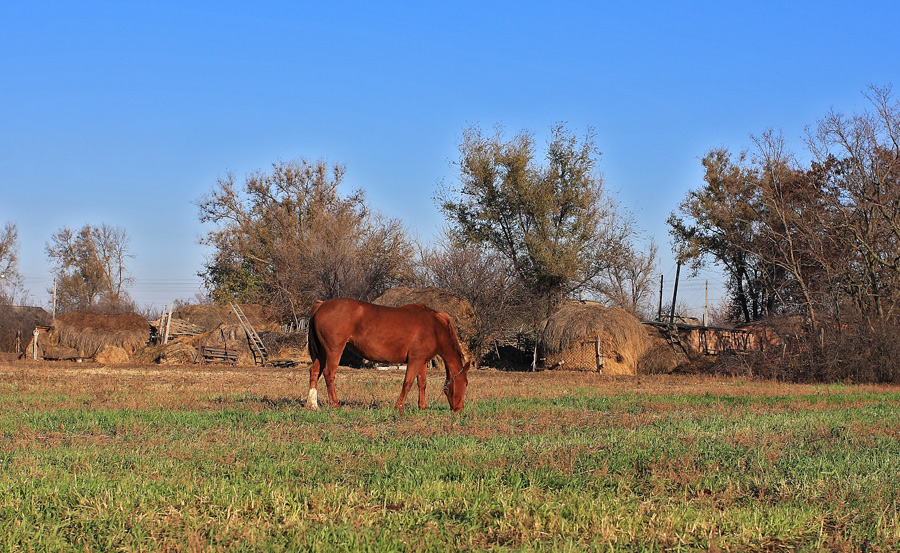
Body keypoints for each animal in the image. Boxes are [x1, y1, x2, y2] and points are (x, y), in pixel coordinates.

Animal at [306, 298, 472, 410]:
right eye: (465, 383)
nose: (459, 408)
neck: (434, 327)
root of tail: (322, 305)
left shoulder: (422, 361)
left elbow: (422, 383)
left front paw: (422, 407)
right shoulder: (415, 360)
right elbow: (407, 383)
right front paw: (399, 406)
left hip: (322, 353)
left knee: (314, 371)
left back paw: (313, 404)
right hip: (333, 350)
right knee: (329, 374)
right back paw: (335, 404)